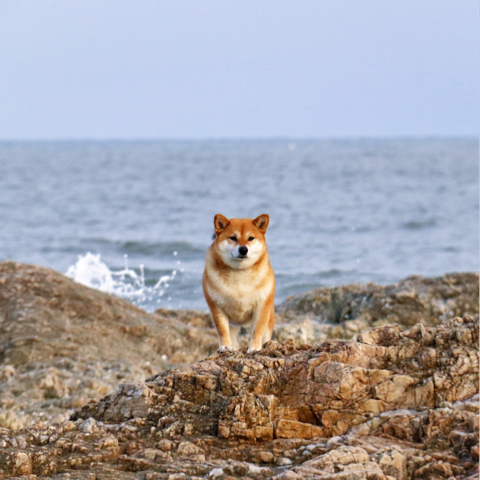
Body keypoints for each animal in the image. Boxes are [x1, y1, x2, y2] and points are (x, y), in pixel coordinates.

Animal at [202, 214, 276, 352]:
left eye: (251, 238)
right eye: (233, 238)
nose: (243, 249)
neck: (239, 274)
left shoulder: (262, 305)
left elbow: (257, 329)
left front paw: (254, 348)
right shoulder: (216, 306)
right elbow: (222, 330)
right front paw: (225, 347)